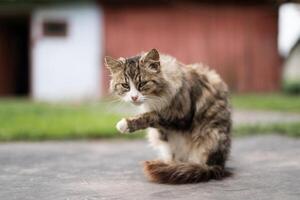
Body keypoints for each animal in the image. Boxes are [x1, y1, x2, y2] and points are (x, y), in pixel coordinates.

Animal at [105, 49, 232, 184]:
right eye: (125, 86)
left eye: (142, 84)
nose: (134, 97)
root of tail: (218, 166)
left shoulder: (181, 116)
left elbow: (151, 116)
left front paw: (125, 124)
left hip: (210, 136)